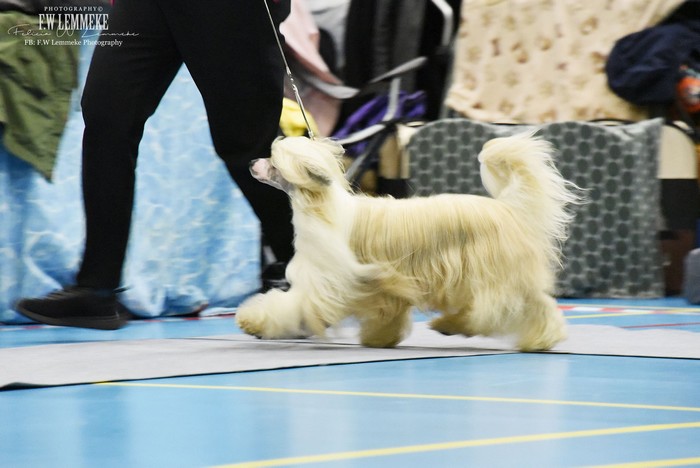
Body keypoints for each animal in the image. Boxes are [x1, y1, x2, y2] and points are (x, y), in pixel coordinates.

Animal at [236, 133, 579, 351]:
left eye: (273, 160)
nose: (251, 161)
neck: (323, 207)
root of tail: (509, 208)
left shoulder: (326, 281)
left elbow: (288, 305)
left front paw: (253, 320)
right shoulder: (382, 288)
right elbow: (386, 314)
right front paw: (378, 339)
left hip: (494, 276)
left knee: (501, 309)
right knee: (530, 306)